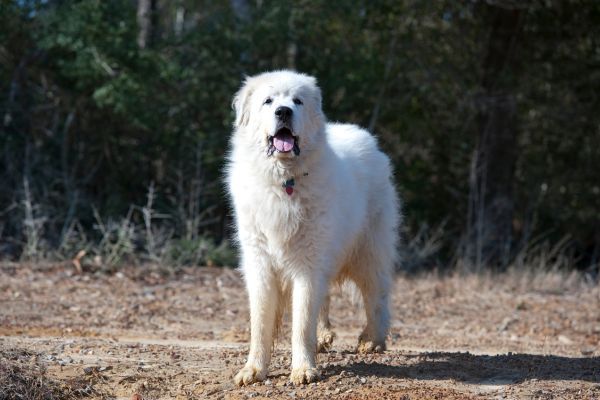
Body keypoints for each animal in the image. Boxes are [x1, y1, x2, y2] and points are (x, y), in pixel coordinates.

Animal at [227, 70, 400, 386]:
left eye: (297, 101)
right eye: (268, 101)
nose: (283, 111)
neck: (285, 181)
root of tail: (366, 137)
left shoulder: (308, 264)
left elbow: (302, 320)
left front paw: (303, 369)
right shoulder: (260, 262)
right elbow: (260, 322)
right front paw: (254, 369)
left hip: (368, 251)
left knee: (376, 296)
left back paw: (373, 339)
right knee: (327, 296)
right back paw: (324, 337)